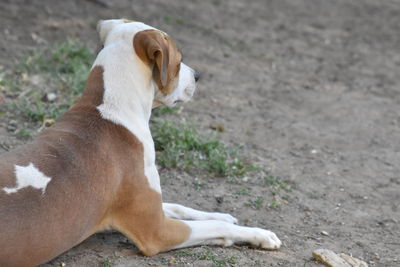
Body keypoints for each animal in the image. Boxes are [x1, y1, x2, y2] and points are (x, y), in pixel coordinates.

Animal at [0, 19, 282, 266]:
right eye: (179, 61)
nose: (198, 75)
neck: (110, 109)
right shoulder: (157, 231)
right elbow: (214, 226)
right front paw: (259, 234)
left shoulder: (148, 207)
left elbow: (180, 206)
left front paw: (222, 214)